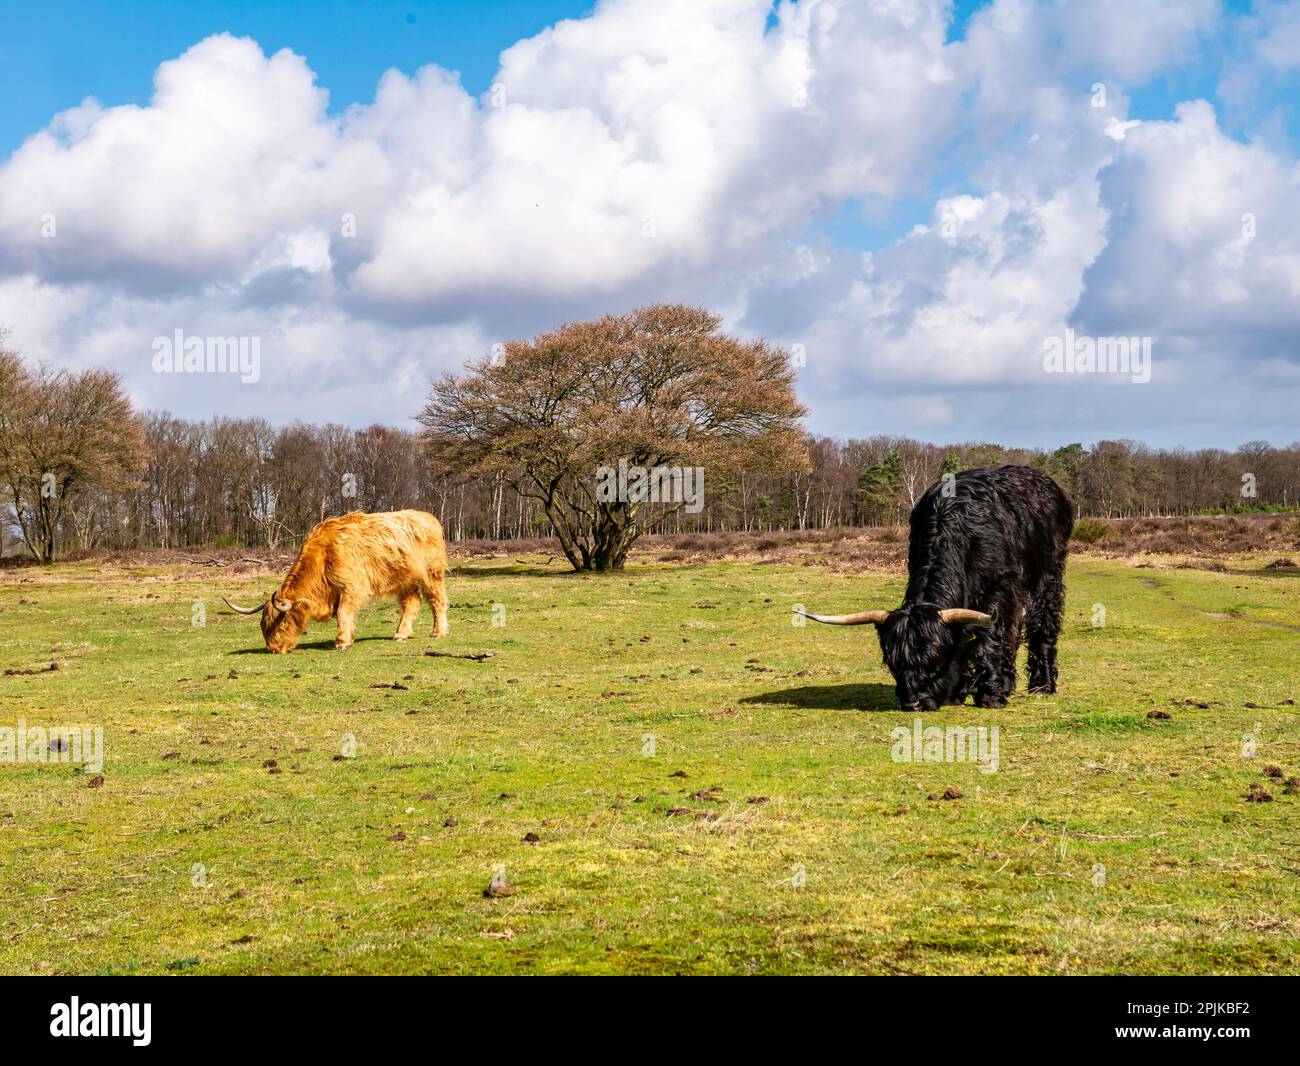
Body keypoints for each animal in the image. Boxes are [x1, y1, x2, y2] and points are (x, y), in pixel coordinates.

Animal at [795, 465, 1071, 707]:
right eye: (893, 663)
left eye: (934, 661)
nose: (912, 703)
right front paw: (960, 691)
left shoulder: (999, 591)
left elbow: (990, 639)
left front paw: (990, 695)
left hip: (1048, 577)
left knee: (1041, 626)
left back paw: (1042, 685)